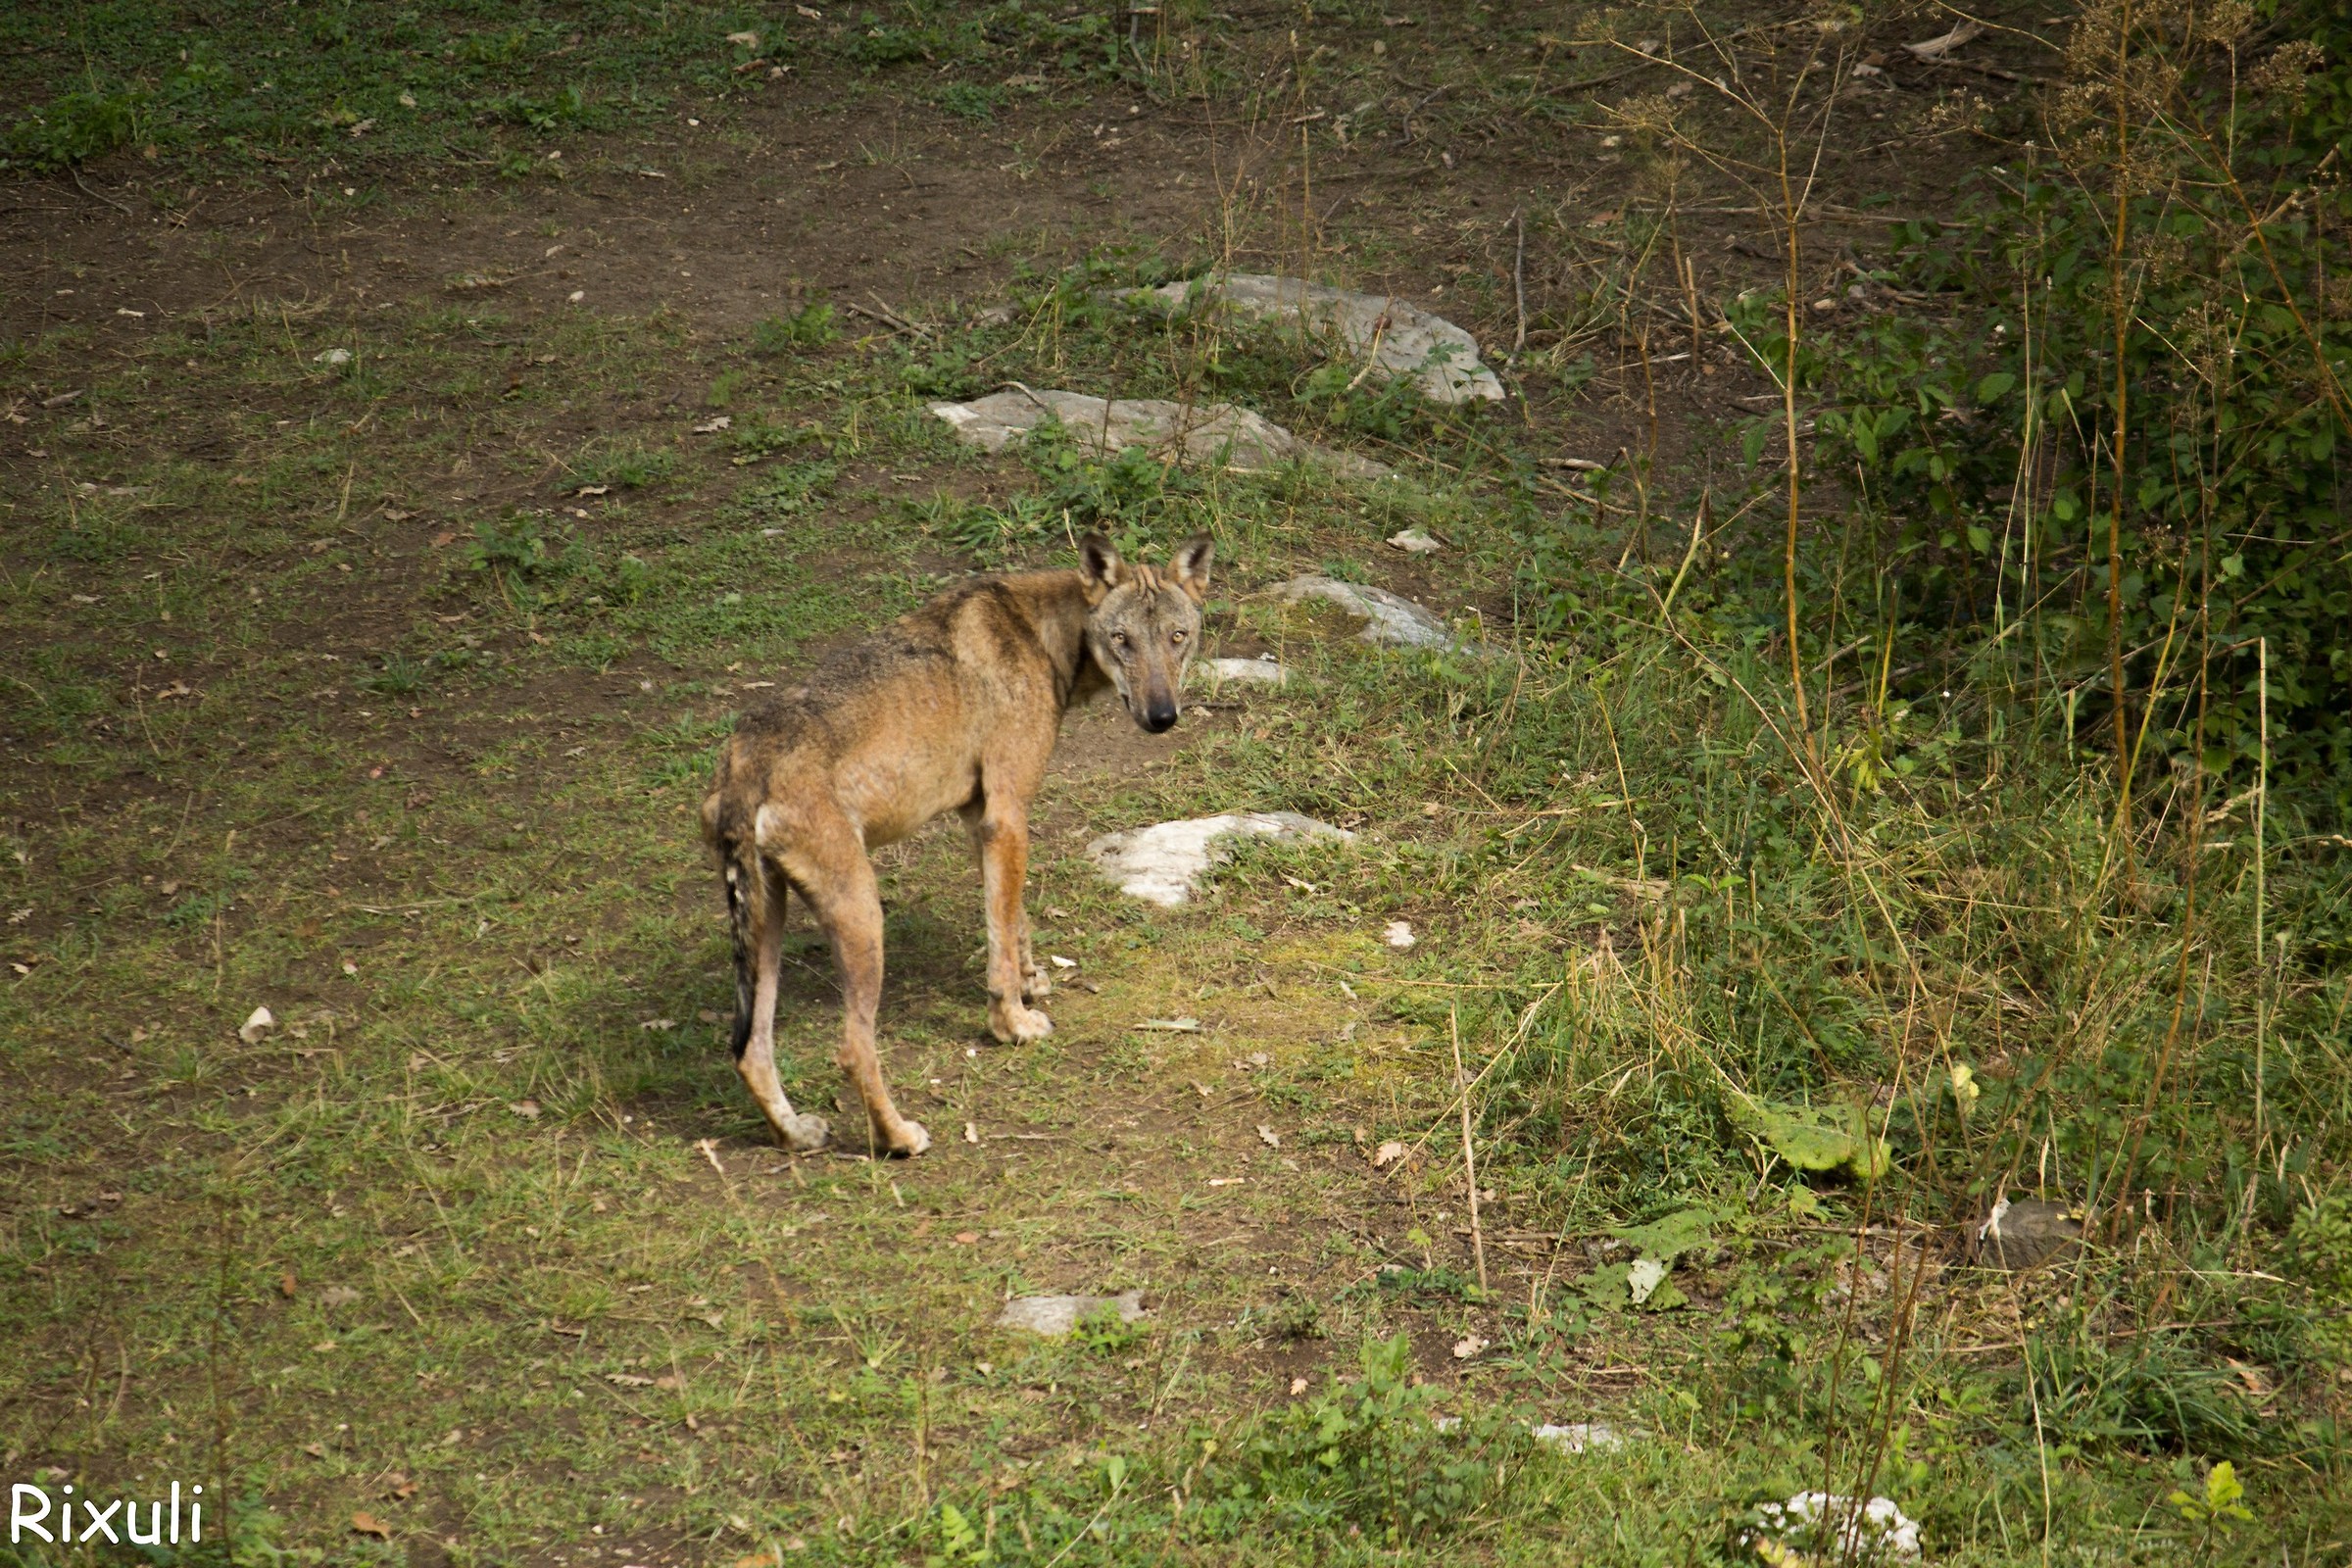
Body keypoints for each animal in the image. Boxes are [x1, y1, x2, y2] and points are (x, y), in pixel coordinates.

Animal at [701, 533, 1213, 1157]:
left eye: (1177, 637)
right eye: (1122, 640)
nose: (1163, 717)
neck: (1044, 634)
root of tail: (741, 761)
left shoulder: (981, 819)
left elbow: (1011, 920)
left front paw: (1030, 983)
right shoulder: (1009, 814)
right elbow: (1004, 937)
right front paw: (1012, 1022)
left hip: (767, 928)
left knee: (749, 1051)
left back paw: (798, 1134)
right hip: (863, 917)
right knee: (850, 1049)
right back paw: (899, 1138)